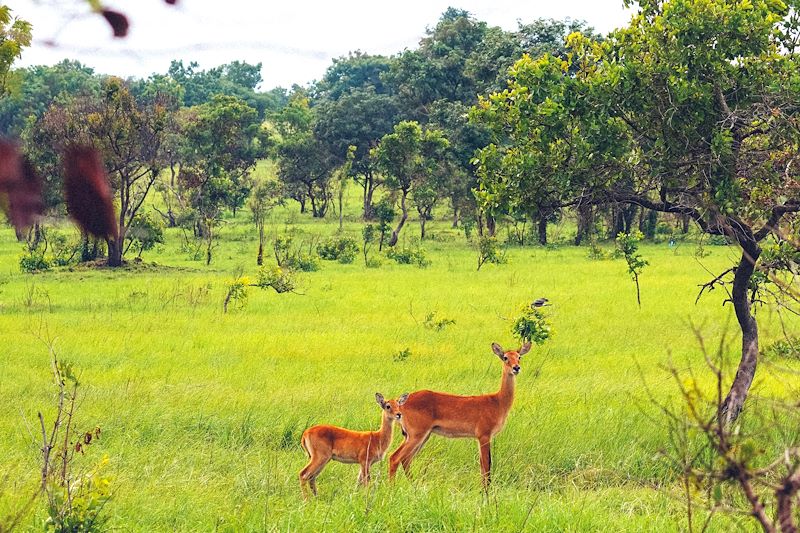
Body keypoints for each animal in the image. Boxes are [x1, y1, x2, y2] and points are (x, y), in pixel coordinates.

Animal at [388, 340, 532, 486]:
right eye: (505, 357)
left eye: (519, 357)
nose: (516, 368)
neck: (497, 401)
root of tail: (400, 403)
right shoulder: (484, 436)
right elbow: (487, 466)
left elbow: (482, 467)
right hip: (416, 435)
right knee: (395, 457)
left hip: (421, 436)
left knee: (405, 460)